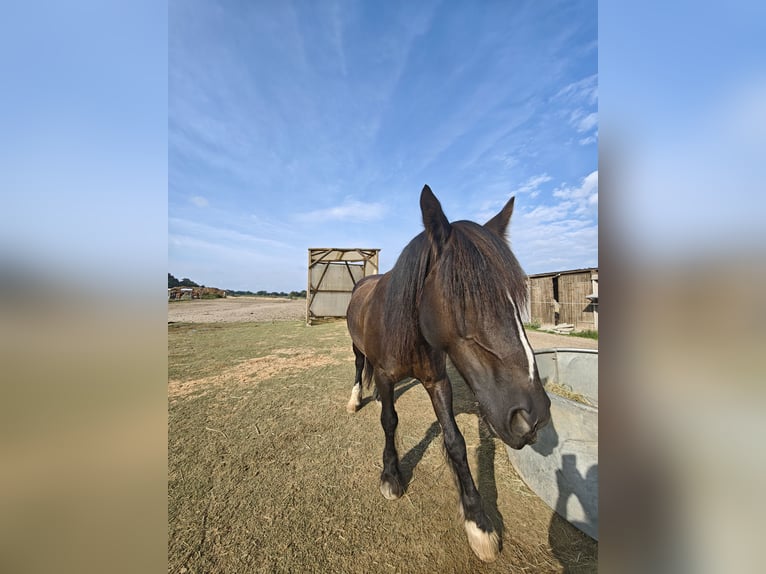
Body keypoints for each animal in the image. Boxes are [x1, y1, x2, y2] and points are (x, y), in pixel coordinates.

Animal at [345, 185, 551, 563]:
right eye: (462, 299)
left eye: (515, 301)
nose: (534, 417)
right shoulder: (384, 374)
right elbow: (389, 422)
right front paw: (391, 476)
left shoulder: (437, 381)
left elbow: (455, 440)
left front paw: (477, 521)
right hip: (356, 347)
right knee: (357, 368)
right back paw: (354, 400)